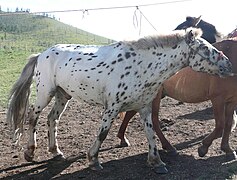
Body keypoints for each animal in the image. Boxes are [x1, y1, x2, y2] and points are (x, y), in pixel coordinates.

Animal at [6, 27, 231, 173]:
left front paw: (157, 162)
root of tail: (41, 54)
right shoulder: (112, 108)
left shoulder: (144, 107)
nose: (229, 65)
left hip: (63, 95)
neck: (142, 65)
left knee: (52, 119)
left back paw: (56, 151)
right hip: (46, 93)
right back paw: (30, 153)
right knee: (32, 118)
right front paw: (93, 160)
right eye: (205, 48)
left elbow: (151, 133)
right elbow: (103, 133)